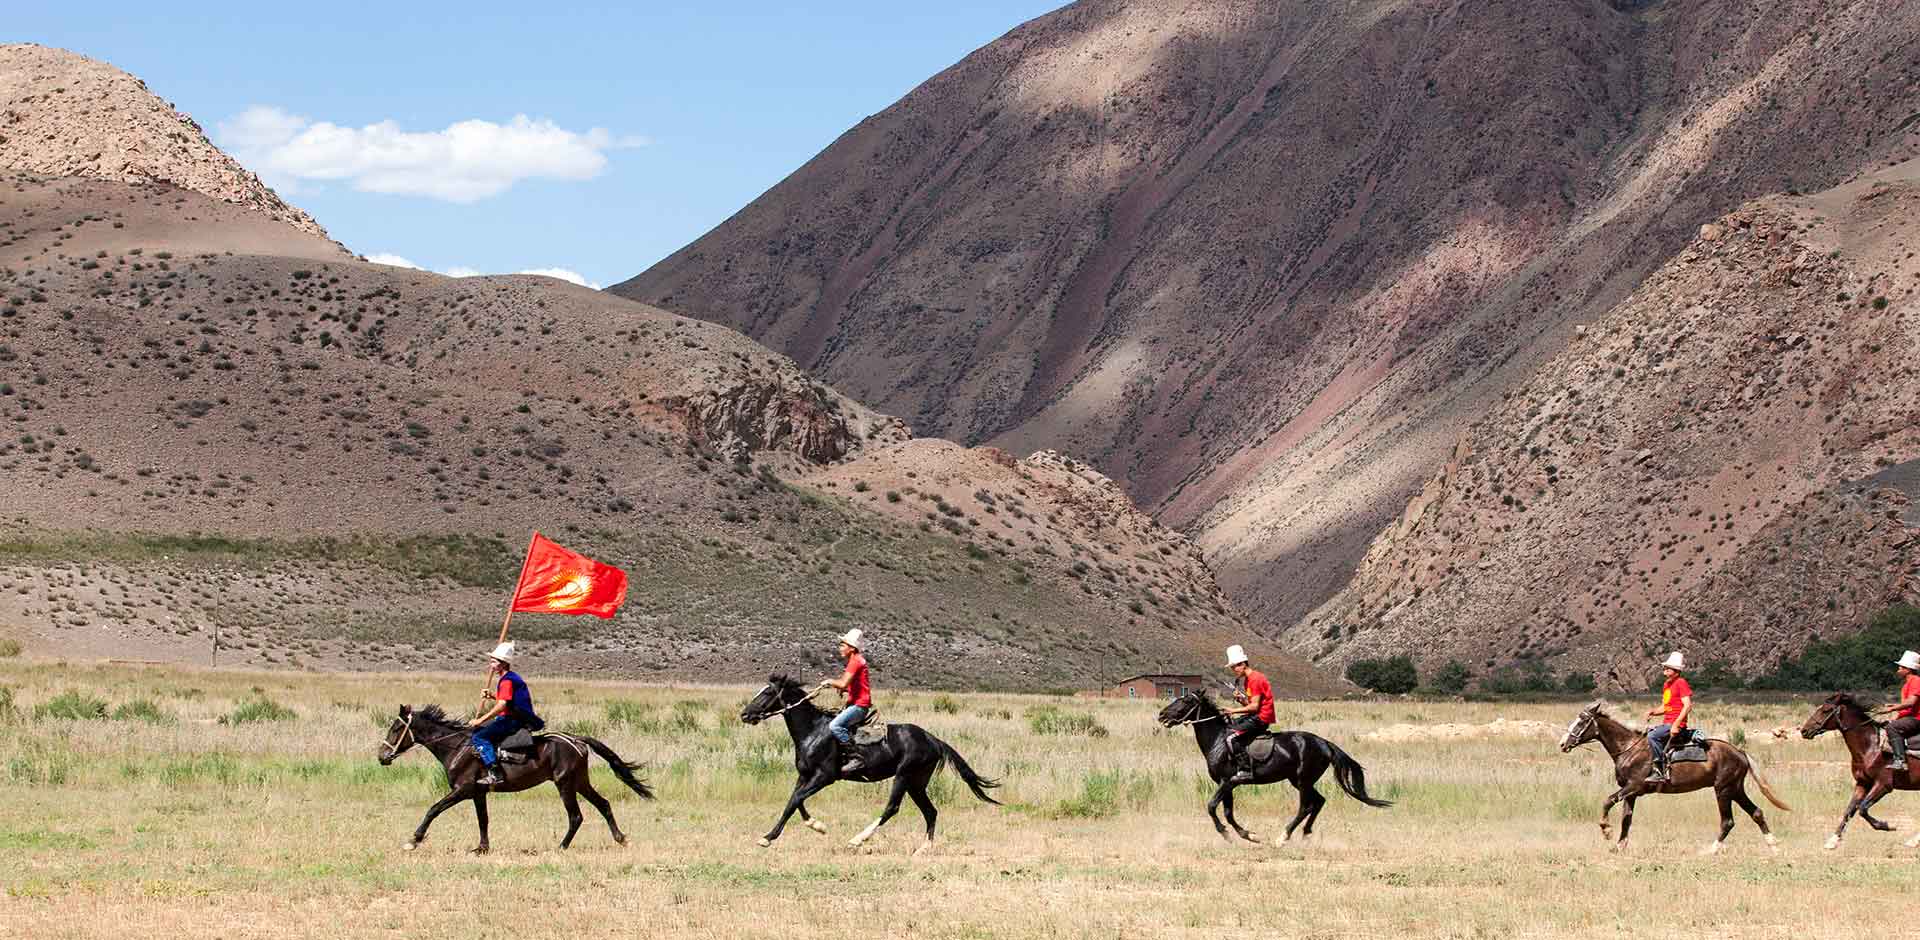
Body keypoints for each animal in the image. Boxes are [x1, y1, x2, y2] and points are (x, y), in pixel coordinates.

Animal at [378, 705, 656, 851]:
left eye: (396, 728)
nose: (382, 756)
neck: (456, 747)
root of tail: (577, 739)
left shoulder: (463, 790)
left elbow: (433, 809)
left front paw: (414, 840)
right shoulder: (478, 793)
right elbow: (483, 820)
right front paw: (482, 848)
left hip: (565, 784)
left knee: (576, 816)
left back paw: (561, 846)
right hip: (580, 782)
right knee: (603, 804)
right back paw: (620, 838)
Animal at [737, 671, 1006, 847]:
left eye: (768, 692)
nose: (745, 714)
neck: (813, 731)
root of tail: (933, 739)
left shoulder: (824, 777)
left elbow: (796, 800)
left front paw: (770, 838)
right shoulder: (804, 775)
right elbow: (794, 801)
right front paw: (807, 827)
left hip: (904, 777)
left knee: (892, 808)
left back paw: (858, 839)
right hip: (917, 783)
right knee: (931, 812)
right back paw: (923, 849)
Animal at [1144, 694, 1390, 840]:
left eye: (1184, 702)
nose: (1161, 715)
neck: (1217, 740)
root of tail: (1324, 742)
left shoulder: (1228, 782)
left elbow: (1212, 806)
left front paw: (1225, 833)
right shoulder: (1228, 785)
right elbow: (1228, 812)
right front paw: (1246, 835)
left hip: (1303, 781)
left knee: (1306, 806)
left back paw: (1285, 836)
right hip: (1299, 780)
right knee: (1319, 801)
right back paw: (1305, 833)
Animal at [1559, 702, 1781, 855]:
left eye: (1581, 721)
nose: (1562, 744)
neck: (1629, 749)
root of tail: (1740, 752)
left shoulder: (1633, 787)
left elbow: (1607, 801)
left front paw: (1606, 830)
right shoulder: (1631, 793)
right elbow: (1626, 820)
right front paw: (1620, 846)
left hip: (1723, 790)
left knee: (1727, 821)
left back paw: (1710, 850)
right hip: (1735, 789)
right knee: (1757, 813)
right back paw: (1774, 846)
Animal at [1797, 690, 1920, 851]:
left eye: (1825, 710)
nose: (1804, 730)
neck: (1871, 747)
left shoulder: (1883, 785)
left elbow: (1862, 809)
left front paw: (1886, 825)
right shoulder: (1862, 783)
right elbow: (1849, 810)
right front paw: (1833, 840)